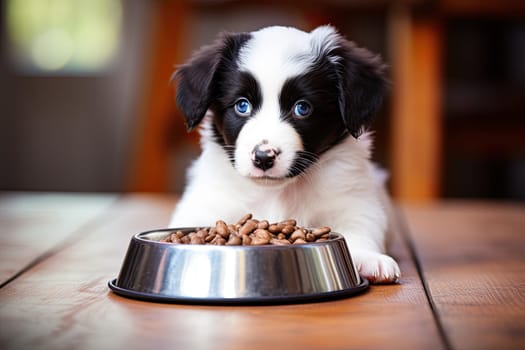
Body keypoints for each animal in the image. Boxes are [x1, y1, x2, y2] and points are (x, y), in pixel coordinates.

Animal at [170, 24, 400, 284]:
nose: (263, 157)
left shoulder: (354, 200)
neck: (277, 193)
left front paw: (368, 257)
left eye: (302, 108)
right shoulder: (206, 202)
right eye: (242, 105)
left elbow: (361, 226)